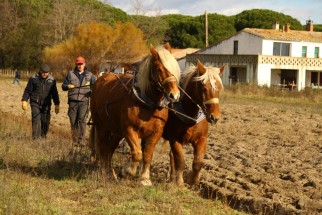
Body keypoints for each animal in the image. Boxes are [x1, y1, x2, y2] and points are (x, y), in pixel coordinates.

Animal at [90, 43, 181, 185]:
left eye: (174, 67)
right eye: (158, 69)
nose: (174, 95)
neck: (148, 104)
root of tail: (101, 78)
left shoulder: (156, 132)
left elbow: (147, 154)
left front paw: (144, 178)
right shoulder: (129, 129)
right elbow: (137, 153)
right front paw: (127, 171)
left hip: (116, 131)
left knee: (110, 149)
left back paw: (111, 174)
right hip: (101, 127)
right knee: (103, 147)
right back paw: (106, 172)